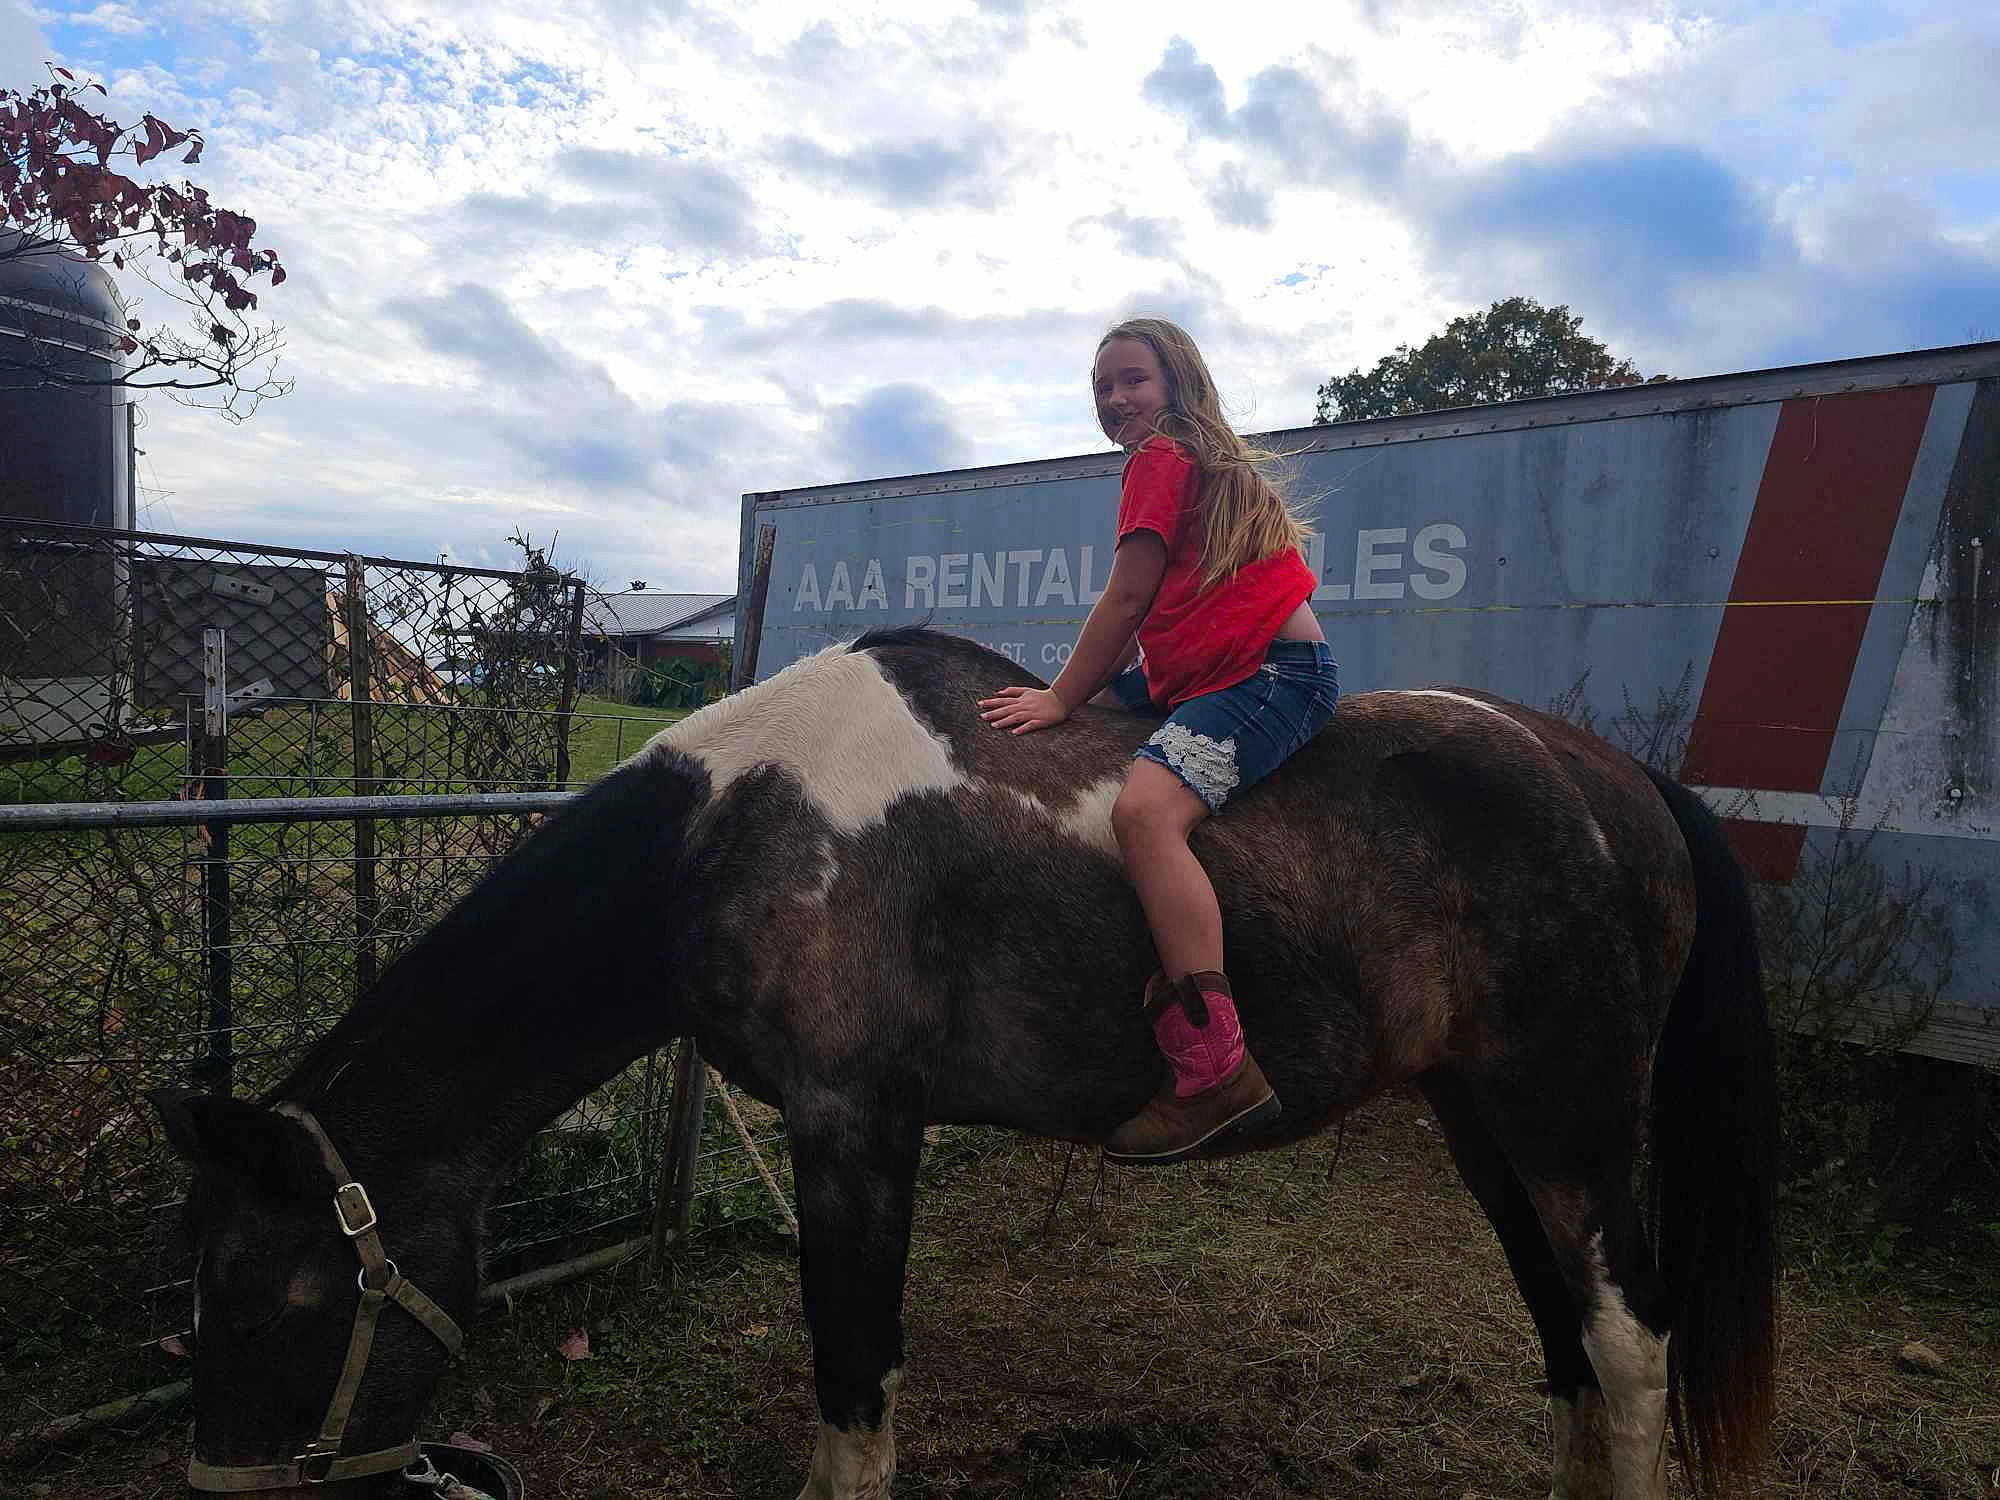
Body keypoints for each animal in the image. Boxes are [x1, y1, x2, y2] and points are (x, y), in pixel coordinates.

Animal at [152, 625, 1776, 1500]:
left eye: (277, 1301)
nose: (218, 1484)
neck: (730, 834)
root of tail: (1612, 780)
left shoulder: (855, 1130)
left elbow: (853, 1391)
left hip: (1566, 1122)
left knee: (1629, 1343)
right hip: (1480, 1123)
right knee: (1566, 1338)